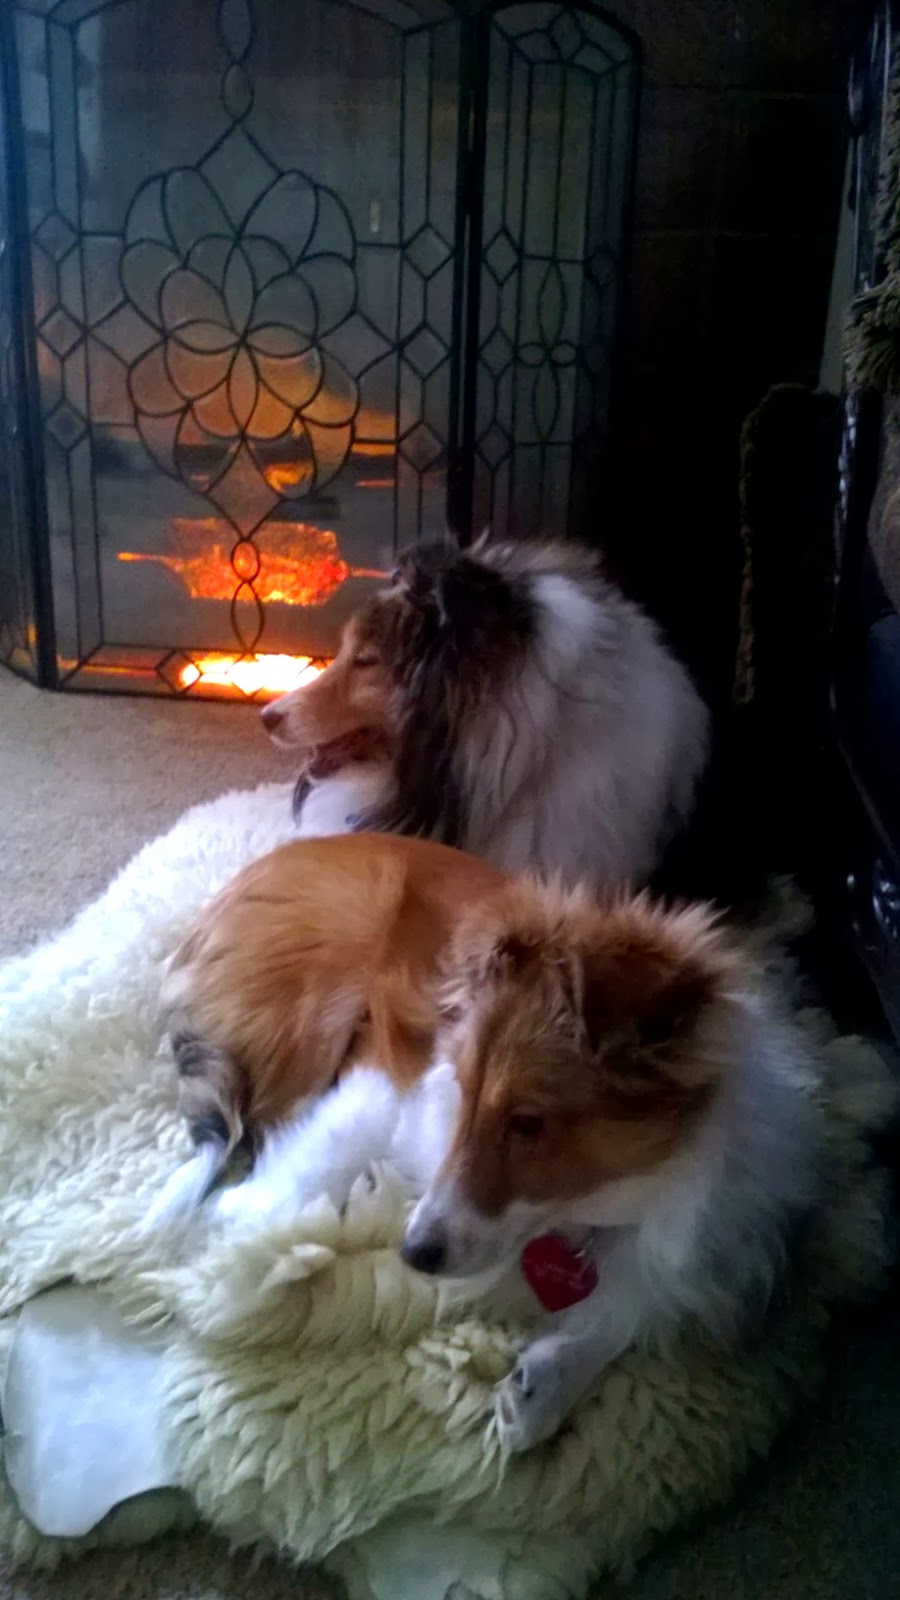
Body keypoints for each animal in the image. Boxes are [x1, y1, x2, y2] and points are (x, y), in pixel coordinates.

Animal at [150, 832, 818, 1453]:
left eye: (528, 1122)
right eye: (465, 1092)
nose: (413, 1254)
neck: (592, 1208)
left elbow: (619, 1314)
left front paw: (544, 1386)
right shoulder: (382, 1076)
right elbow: (307, 1165)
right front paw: (239, 1247)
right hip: (314, 1010)